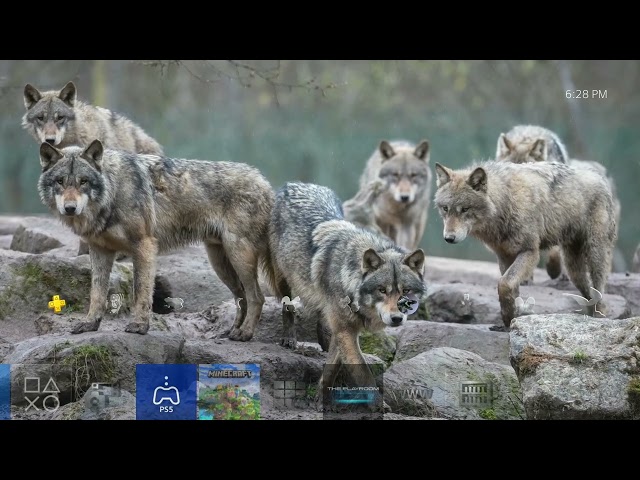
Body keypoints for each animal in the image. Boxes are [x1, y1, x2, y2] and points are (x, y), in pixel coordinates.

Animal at [37, 139, 276, 339]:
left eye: (83, 181)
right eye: (60, 181)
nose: (70, 208)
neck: (113, 192)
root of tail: (265, 182)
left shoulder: (144, 246)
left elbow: (141, 291)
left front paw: (139, 326)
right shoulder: (99, 251)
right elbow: (96, 293)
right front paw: (90, 324)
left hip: (238, 256)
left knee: (257, 297)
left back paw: (245, 334)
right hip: (220, 263)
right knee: (242, 297)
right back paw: (232, 331)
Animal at [269, 181, 426, 392]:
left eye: (406, 291)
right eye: (382, 290)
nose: (396, 318)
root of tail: (296, 183)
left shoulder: (344, 330)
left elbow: (330, 370)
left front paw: (321, 394)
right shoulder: (346, 331)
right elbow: (363, 375)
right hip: (283, 278)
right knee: (288, 307)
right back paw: (289, 339)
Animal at [433, 160, 617, 330]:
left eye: (465, 209)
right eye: (445, 208)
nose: (449, 238)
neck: (506, 202)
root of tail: (599, 176)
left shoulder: (530, 252)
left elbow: (504, 283)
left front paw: (508, 317)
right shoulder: (504, 256)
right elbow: (511, 287)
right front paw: (511, 319)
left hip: (594, 254)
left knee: (599, 289)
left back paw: (599, 318)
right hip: (573, 269)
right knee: (588, 291)